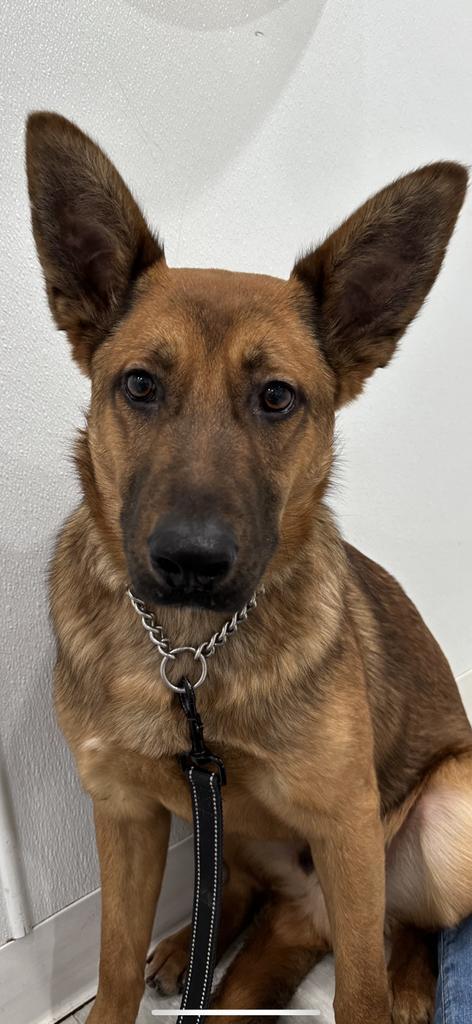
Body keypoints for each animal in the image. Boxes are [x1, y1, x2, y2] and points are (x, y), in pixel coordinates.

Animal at [26, 112, 470, 1024]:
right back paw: (186, 947)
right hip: (231, 827)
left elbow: (360, 994)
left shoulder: (346, 825)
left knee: (402, 928)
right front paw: (149, 964)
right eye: (139, 386)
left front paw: (388, 991)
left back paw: (415, 986)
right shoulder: (125, 813)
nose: (190, 563)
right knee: (237, 891)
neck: (190, 647)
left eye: (276, 398)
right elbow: (113, 974)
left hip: (445, 823)